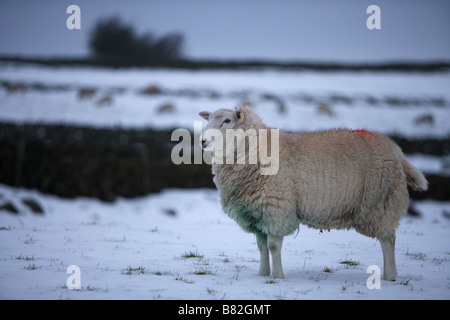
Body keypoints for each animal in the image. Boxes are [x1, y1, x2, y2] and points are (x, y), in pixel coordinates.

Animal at [199, 105, 428, 280]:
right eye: (209, 119)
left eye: (227, 120)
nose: (202, 141)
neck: (257, 149)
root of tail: (397, 151)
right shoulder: (256, 212)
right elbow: (261, 247)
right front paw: (263, 274)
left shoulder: (277, 207)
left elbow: (273, 246)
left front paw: (277, 277)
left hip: (380, 203)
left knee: (388, 239)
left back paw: (390, 276)